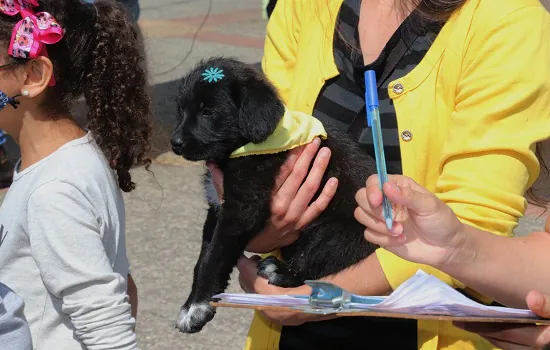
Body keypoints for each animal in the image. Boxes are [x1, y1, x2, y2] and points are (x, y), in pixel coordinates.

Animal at [172, 56, 380, 334]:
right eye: (182, 110)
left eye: (208, 112)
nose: (175, 143)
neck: (236, 151)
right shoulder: (217, 206)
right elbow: (204, 256)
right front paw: (193, 303)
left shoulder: (242, 208)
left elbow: (214, 257)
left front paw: (197, 308)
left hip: (334, 233)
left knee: (315, 263)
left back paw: (279, 271)